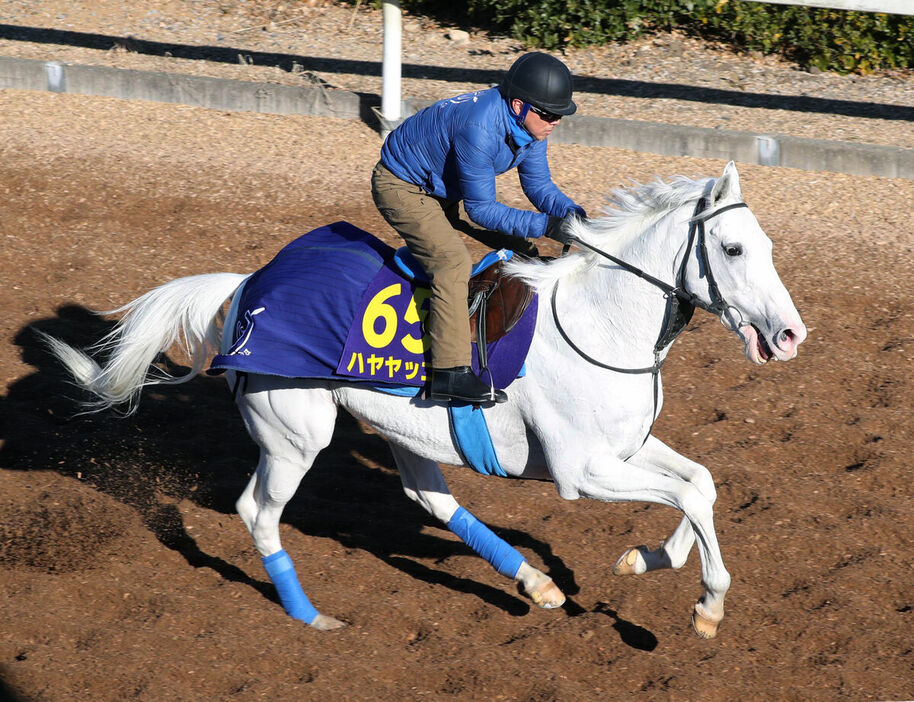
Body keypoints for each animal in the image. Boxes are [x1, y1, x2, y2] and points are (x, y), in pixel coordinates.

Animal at [42, 162, 804, 640]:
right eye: (733, 249)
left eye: (767, 245)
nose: (791, 334)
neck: (599, 321)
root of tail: (248, 287)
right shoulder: (581, 472)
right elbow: (689, 495)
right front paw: (707, 604)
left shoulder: (625, 446)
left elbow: (700, 484)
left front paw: (647, 561)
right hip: (296, 433)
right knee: (258, 512)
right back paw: (311, 616)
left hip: (403, 432)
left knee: (430, 498)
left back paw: (534, 583)